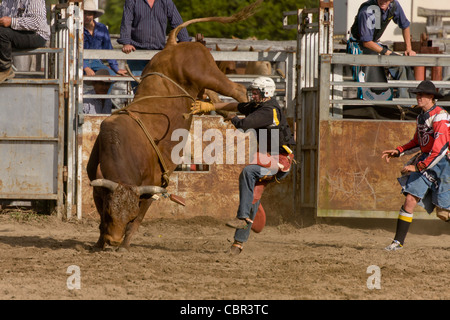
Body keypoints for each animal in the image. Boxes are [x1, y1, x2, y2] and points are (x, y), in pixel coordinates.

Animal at [85, 0, 262, 250]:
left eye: (129, 216)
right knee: (213, 96)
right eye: (111, 213)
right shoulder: (98, 185)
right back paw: (221, 112)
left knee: (236, 89)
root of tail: (173, 44)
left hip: (208, 73)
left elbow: (139, 218)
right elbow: (100, 212)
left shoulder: (152, 186)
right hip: (202, 83)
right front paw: (100, 241)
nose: (113, 242)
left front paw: (125, 244)